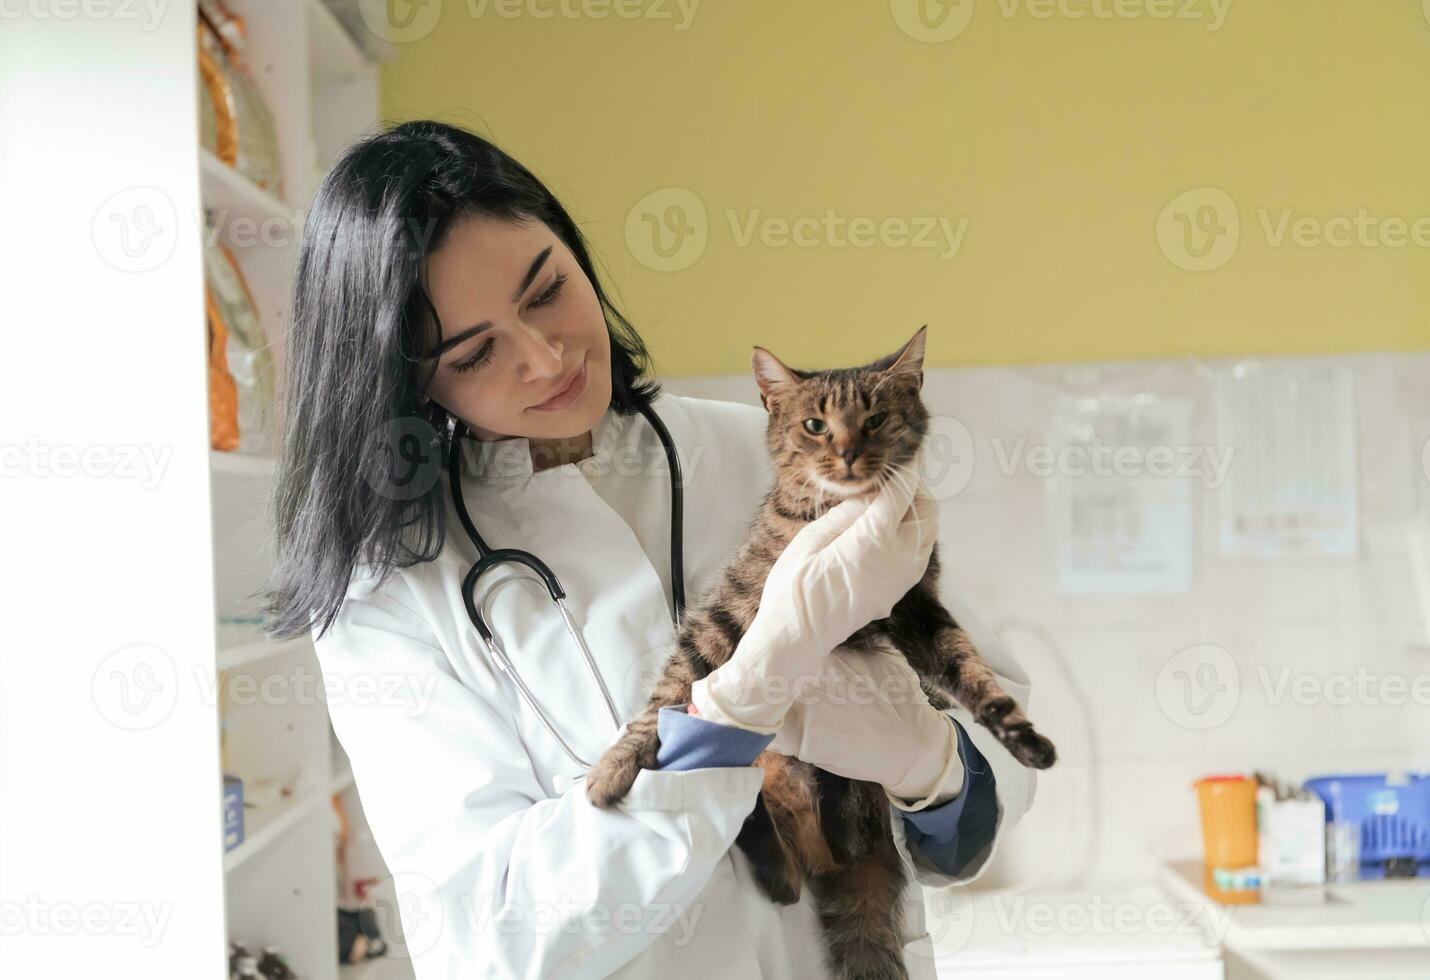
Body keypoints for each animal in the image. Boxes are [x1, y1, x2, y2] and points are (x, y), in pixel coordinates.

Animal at [586, 324, 1058, 972]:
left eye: (876, 419)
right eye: (815, 425)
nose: (849, 452)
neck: (845, 516)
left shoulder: (920, 610)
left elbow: (975, 673)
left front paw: (1024, 737)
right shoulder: (728, 611)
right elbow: (666, 693)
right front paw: (615, 766)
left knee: (803, 865)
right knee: (783, 858)